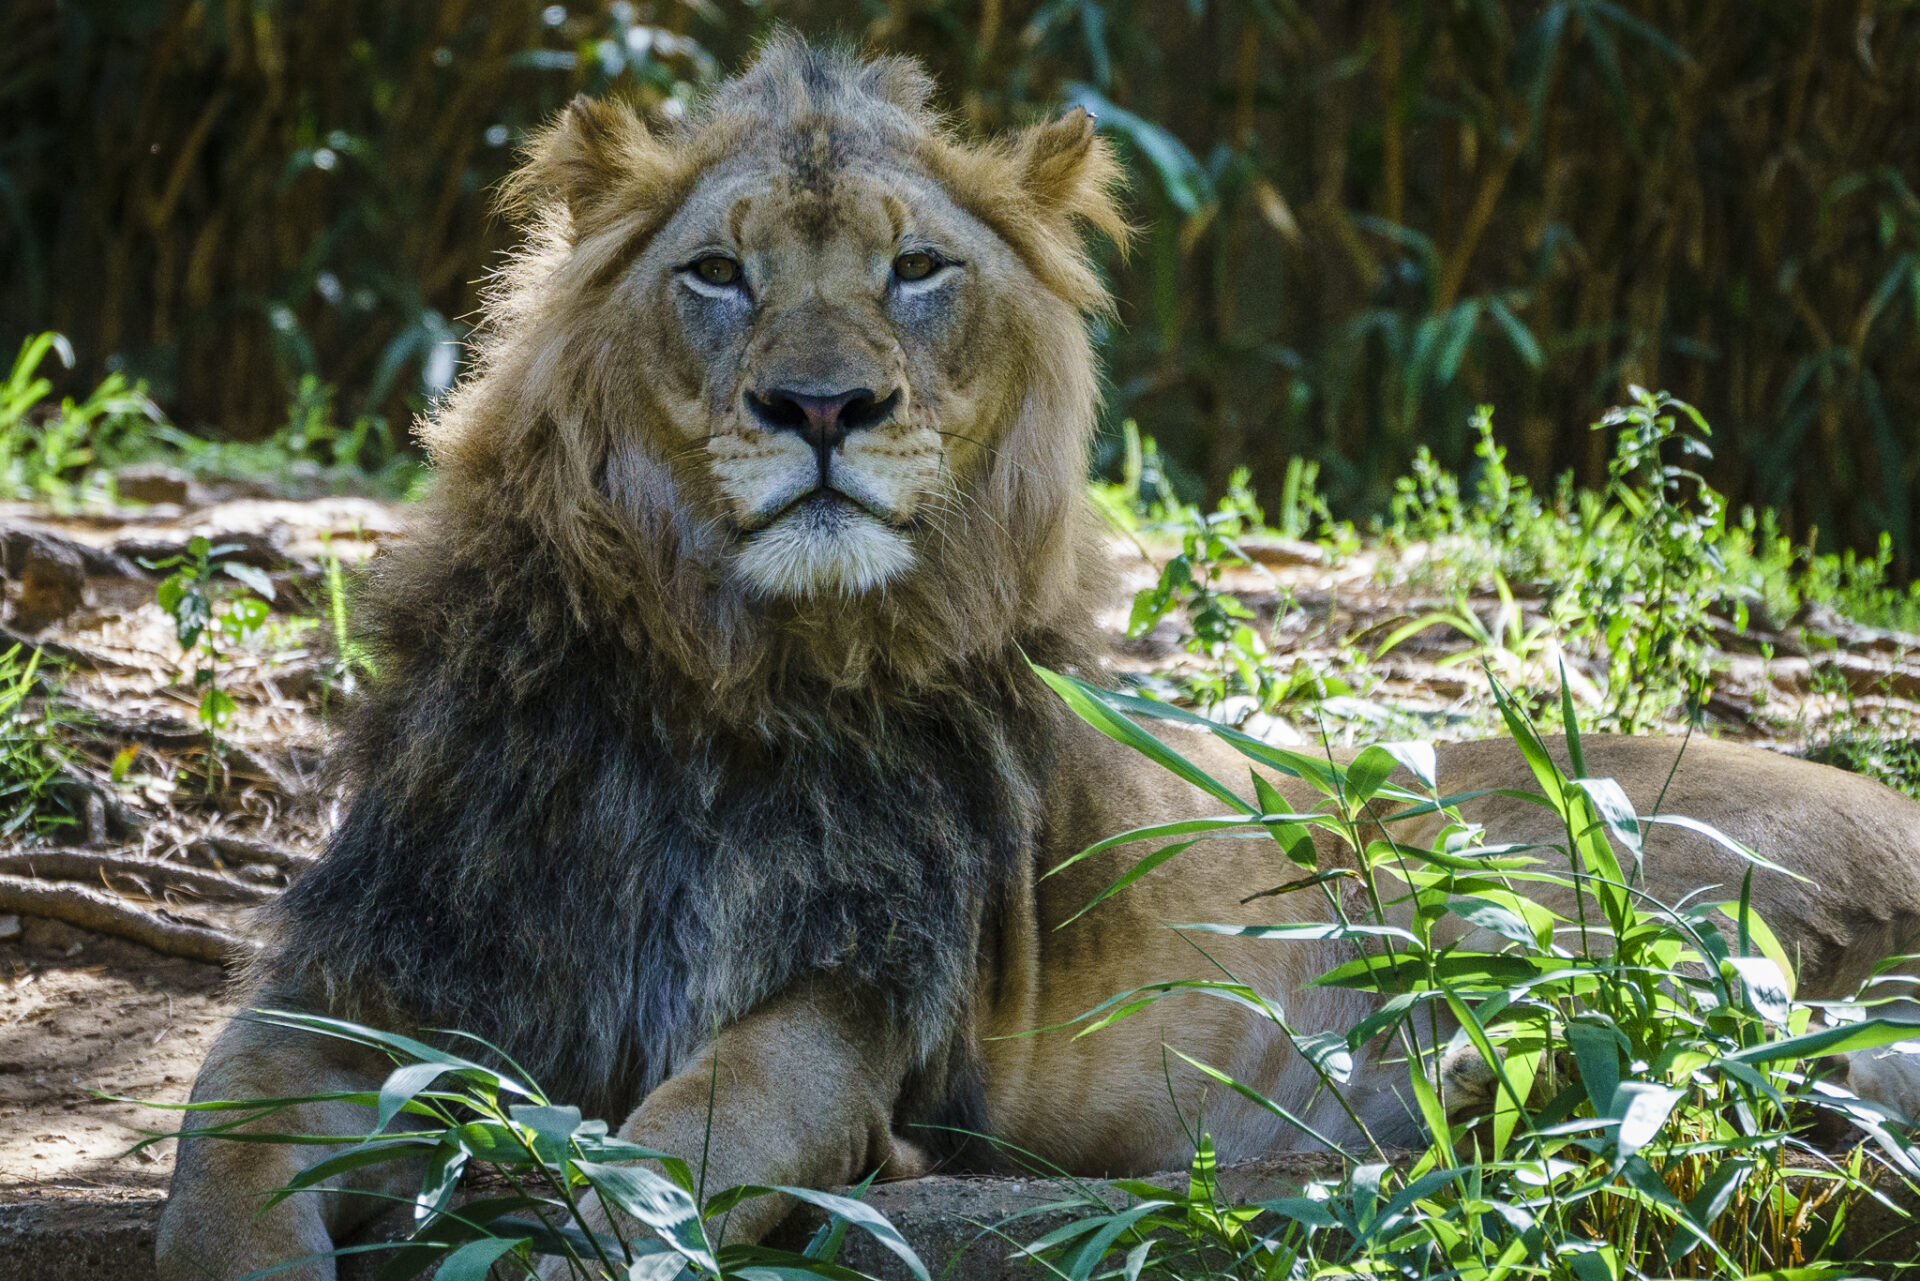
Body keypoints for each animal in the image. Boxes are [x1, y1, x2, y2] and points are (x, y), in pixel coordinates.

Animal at [157, 35, 1920, 1275]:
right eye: (717, 273)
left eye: (915, 268)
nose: (822, 407)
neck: (719, 686)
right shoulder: (385, 971)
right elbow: (217, 1165)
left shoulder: (855, 1000)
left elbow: (674, 1150)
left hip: (1576, 898)